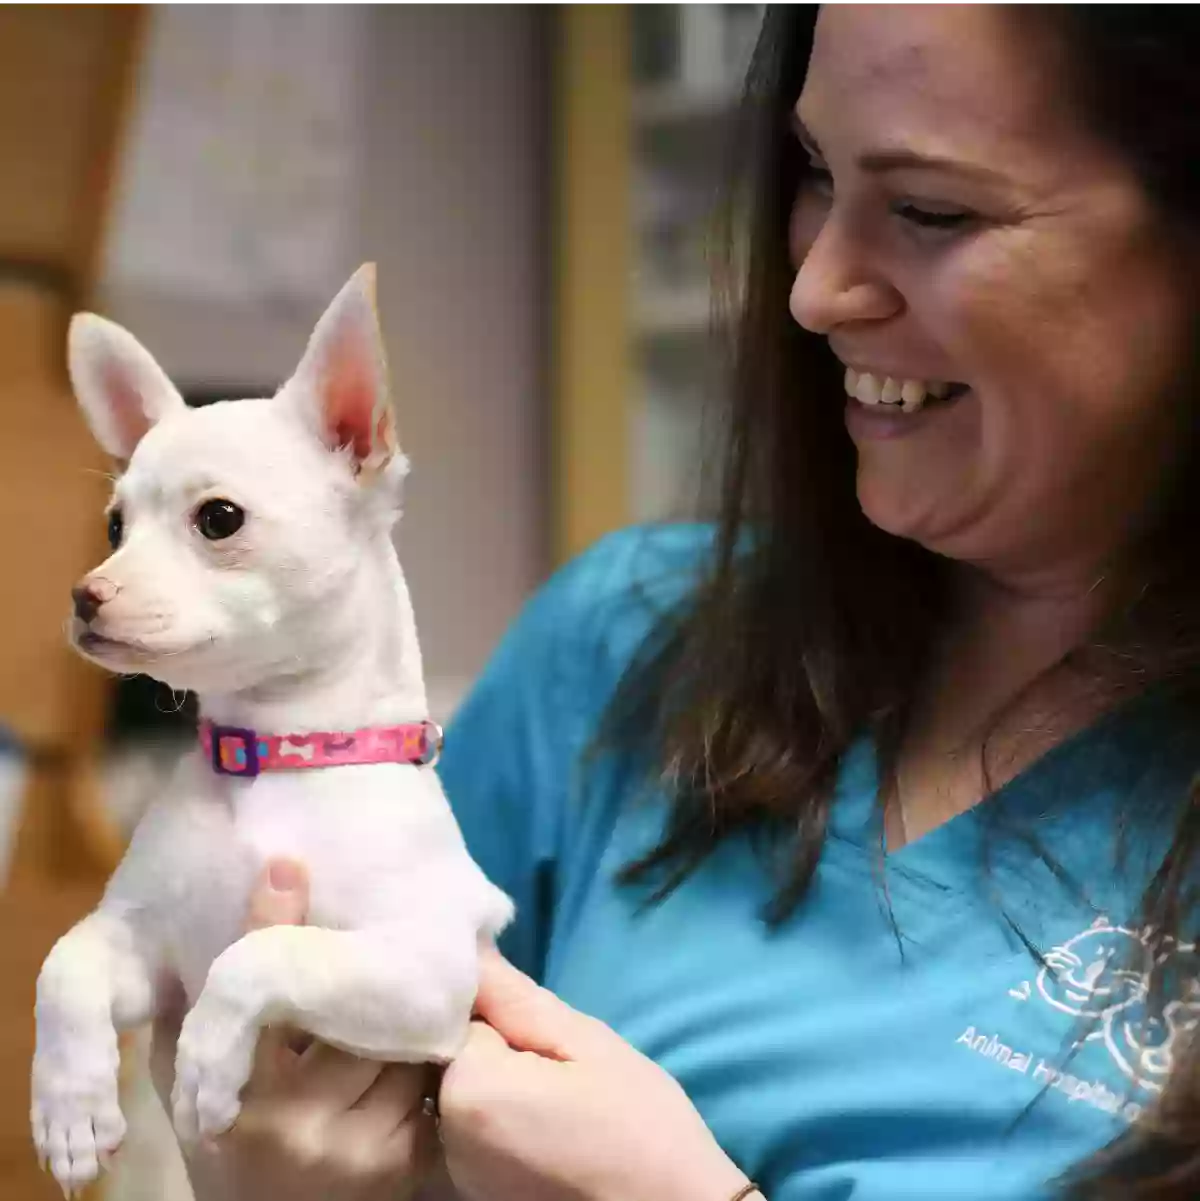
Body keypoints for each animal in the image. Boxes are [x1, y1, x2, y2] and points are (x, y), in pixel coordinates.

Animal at [32, 267, 511, 1196]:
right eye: (114, 528)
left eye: (219, 519)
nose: (85, 593)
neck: (275, 763)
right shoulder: (145, 948)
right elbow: (62, 964)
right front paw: (68, 1106)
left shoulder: (427, 971)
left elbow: (266, 950)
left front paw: (209, 1065)